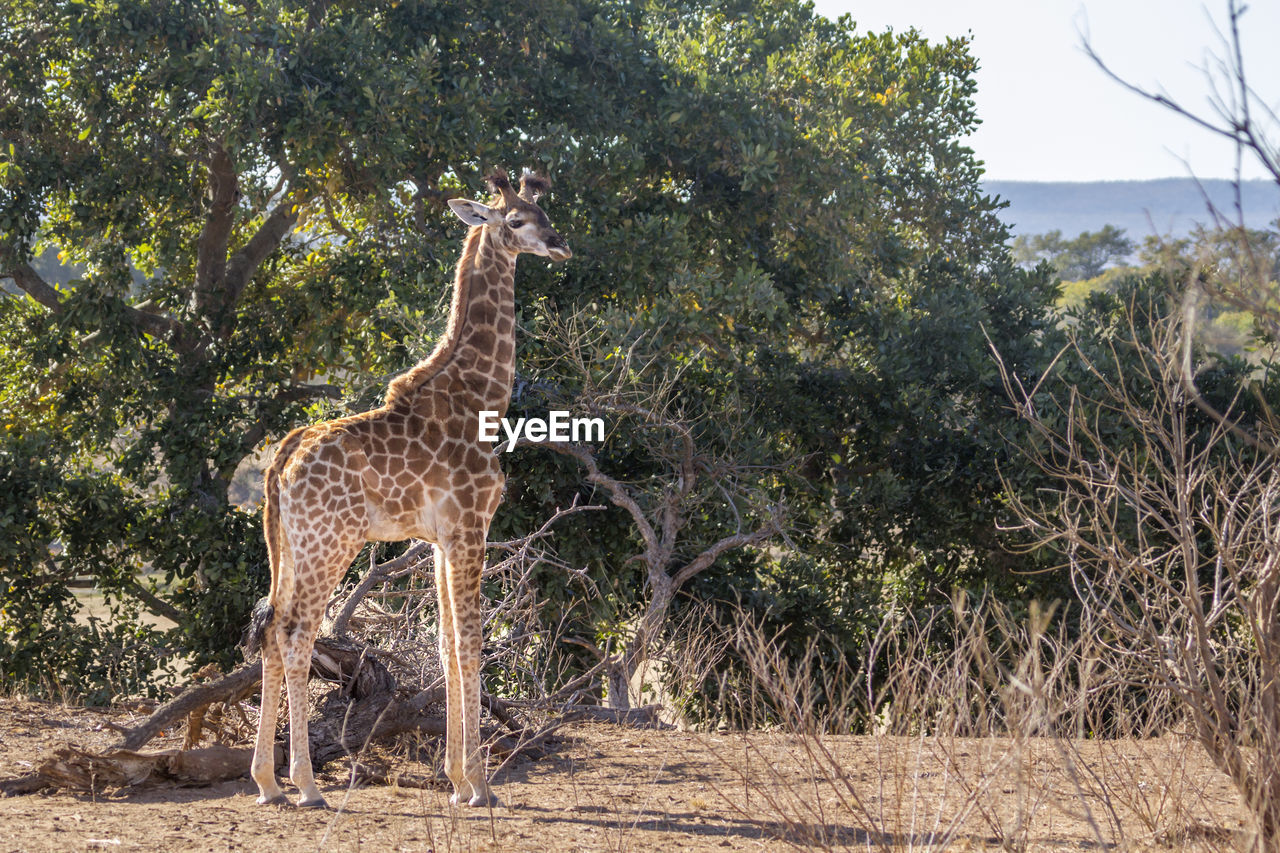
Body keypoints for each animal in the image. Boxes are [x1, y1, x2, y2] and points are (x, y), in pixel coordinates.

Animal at [243, 163, 570, 804]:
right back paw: (307, 785)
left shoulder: (442, 537)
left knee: (270, 630)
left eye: (547, 213)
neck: (481, 398)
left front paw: (456, 779)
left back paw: (268, 783)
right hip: (331, 542)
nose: (560, 244)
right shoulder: (471, 525)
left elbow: (445, 645)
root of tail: (281, 459)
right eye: (518, 220)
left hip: (289, 545)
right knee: (296, 634)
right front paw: (480, 785)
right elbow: (470, 642)